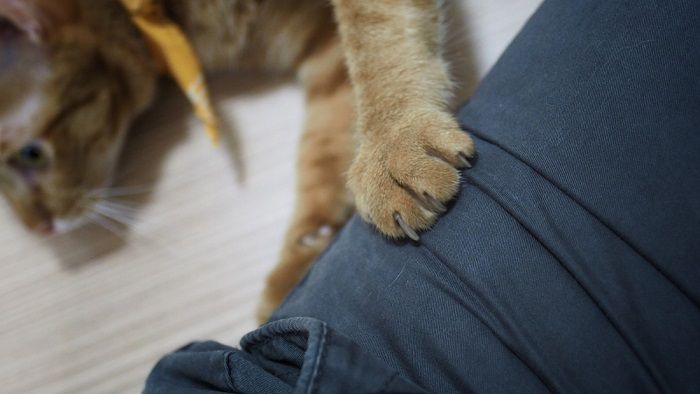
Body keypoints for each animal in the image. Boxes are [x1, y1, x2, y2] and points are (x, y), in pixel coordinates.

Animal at [0, 0, 476, 324]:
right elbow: (322, 148)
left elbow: (372, 33)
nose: (37, 229)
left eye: (31, 154)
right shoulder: (322, 46)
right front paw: (306, 251)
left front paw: (394, 137)